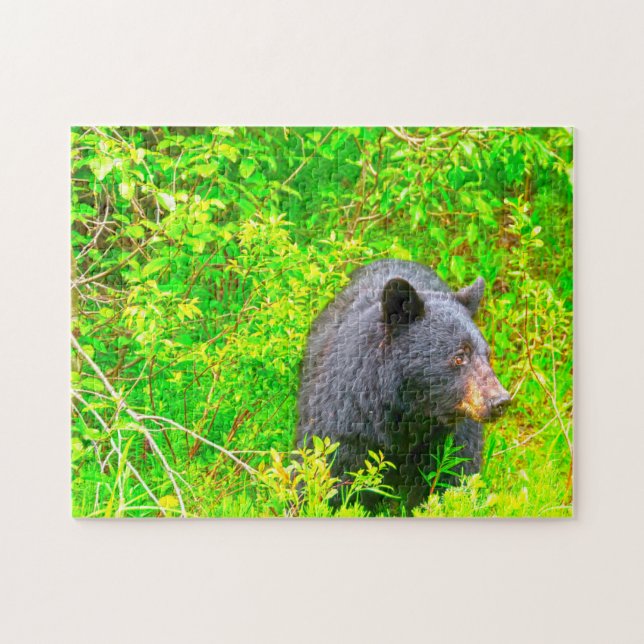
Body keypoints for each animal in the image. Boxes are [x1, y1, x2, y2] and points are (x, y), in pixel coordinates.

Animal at [296, 258, 510, 510]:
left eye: (487, 355)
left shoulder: (452, 438)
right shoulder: (346, 417)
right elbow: (330, 472)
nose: (500, 400)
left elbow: (452, 477)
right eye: (459, 356)